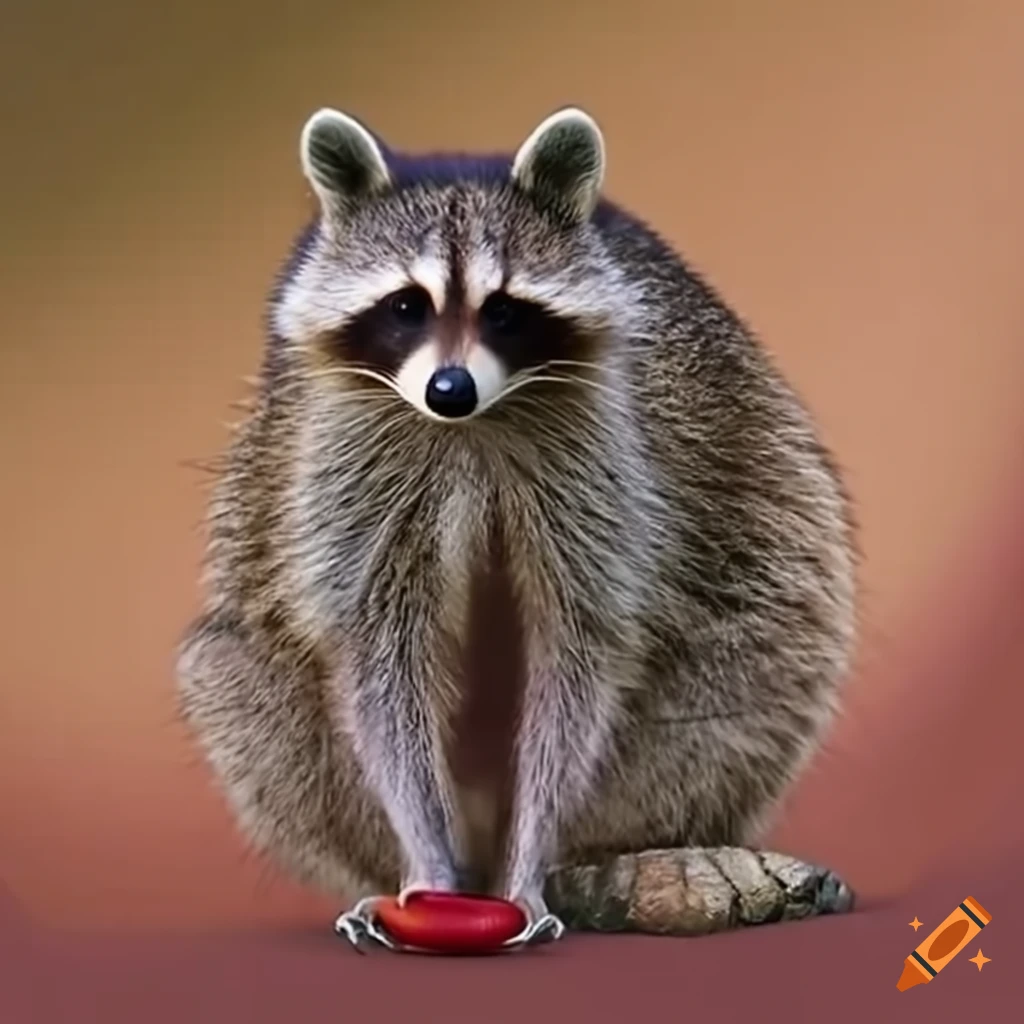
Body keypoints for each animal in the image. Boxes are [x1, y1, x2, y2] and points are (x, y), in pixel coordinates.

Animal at [176, 106, 857, 927]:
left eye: (503, 311)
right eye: (407, 306)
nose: (449, 389)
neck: (470, 425)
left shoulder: (604, 461)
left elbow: (578, 648)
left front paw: (531, 860)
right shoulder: (349, 464)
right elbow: (380, 659)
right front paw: (425, 860)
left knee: (756, 659)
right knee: (233, 671)